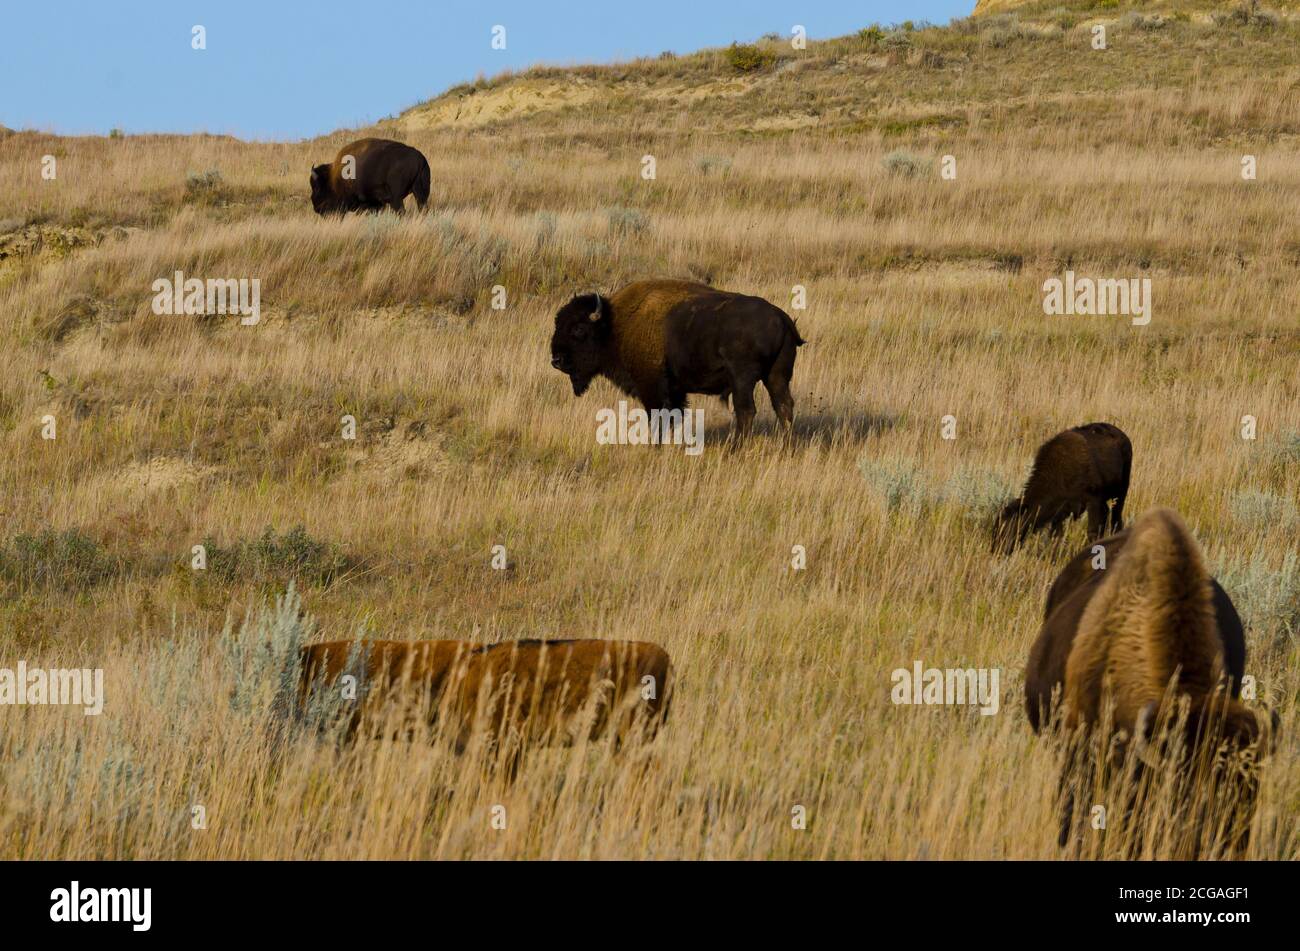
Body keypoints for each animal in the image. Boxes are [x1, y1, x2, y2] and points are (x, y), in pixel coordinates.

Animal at [548, 278, 800, 446]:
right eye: (558, 324)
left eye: (578, 329)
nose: (556, 360)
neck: (614, 326)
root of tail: (781, 318)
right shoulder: (676, 390)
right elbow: (676, 417)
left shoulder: (652, 388)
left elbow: (657, 418)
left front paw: (656, 446)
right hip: (777, 375)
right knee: (783, 406)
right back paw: (786, 446)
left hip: (743, 379)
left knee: (746, 411)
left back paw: (736, 448)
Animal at [987, 420, 1133, 553]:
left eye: (1009, 527)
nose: (996, 550)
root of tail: (1124, 437)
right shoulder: (1061, 511)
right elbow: (1056, 536)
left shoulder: (1093, 501)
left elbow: (1092, 531)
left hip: (1121, 492)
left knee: (1116, 518)